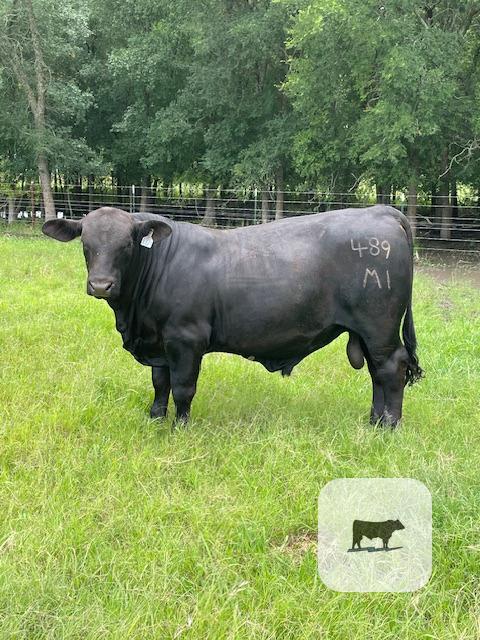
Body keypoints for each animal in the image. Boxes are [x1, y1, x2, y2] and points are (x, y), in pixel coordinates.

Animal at [42, 205, 422, 426]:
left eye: (126, 244)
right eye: (86, 244)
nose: (101, 285)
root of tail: (382, 210)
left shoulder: (185, 339)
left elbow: (183, 387)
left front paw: (180, 427)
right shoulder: (159, 342)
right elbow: (160, 383)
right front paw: (155, 419)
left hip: (380, 327)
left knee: (391, 369)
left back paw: (389, 425)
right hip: (369, 333)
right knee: (376, 373)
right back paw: (373, 420)